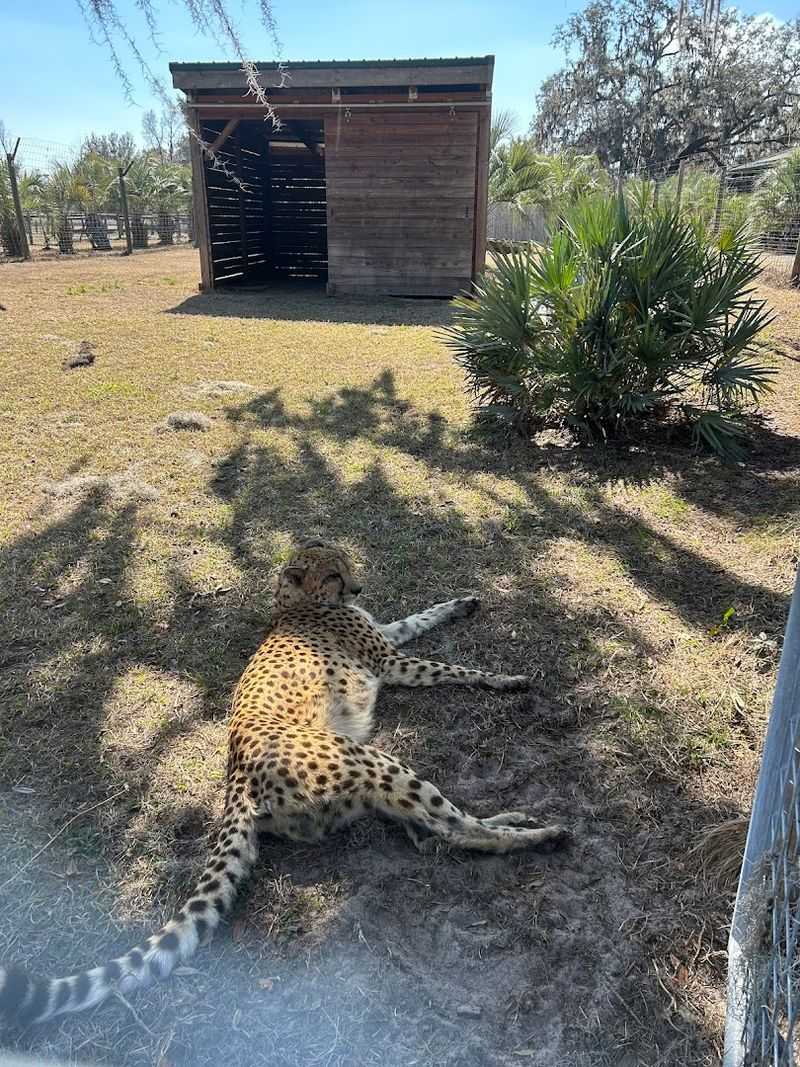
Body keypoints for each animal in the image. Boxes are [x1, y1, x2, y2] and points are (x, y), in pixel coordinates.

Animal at [0, 539, 568, 1025]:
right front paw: (505, 678)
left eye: (346, 564)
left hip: (365, 788)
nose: (358, 588)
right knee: (452, 827)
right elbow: (453, 667)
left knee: (429, 833)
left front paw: (462, 603)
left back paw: (512, 818)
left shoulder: (389, 637)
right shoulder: (391, 661)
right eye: (335, 574)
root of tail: (236, 780)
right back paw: (541, 834)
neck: (294, 603)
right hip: (373, 760)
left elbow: (420, 614)